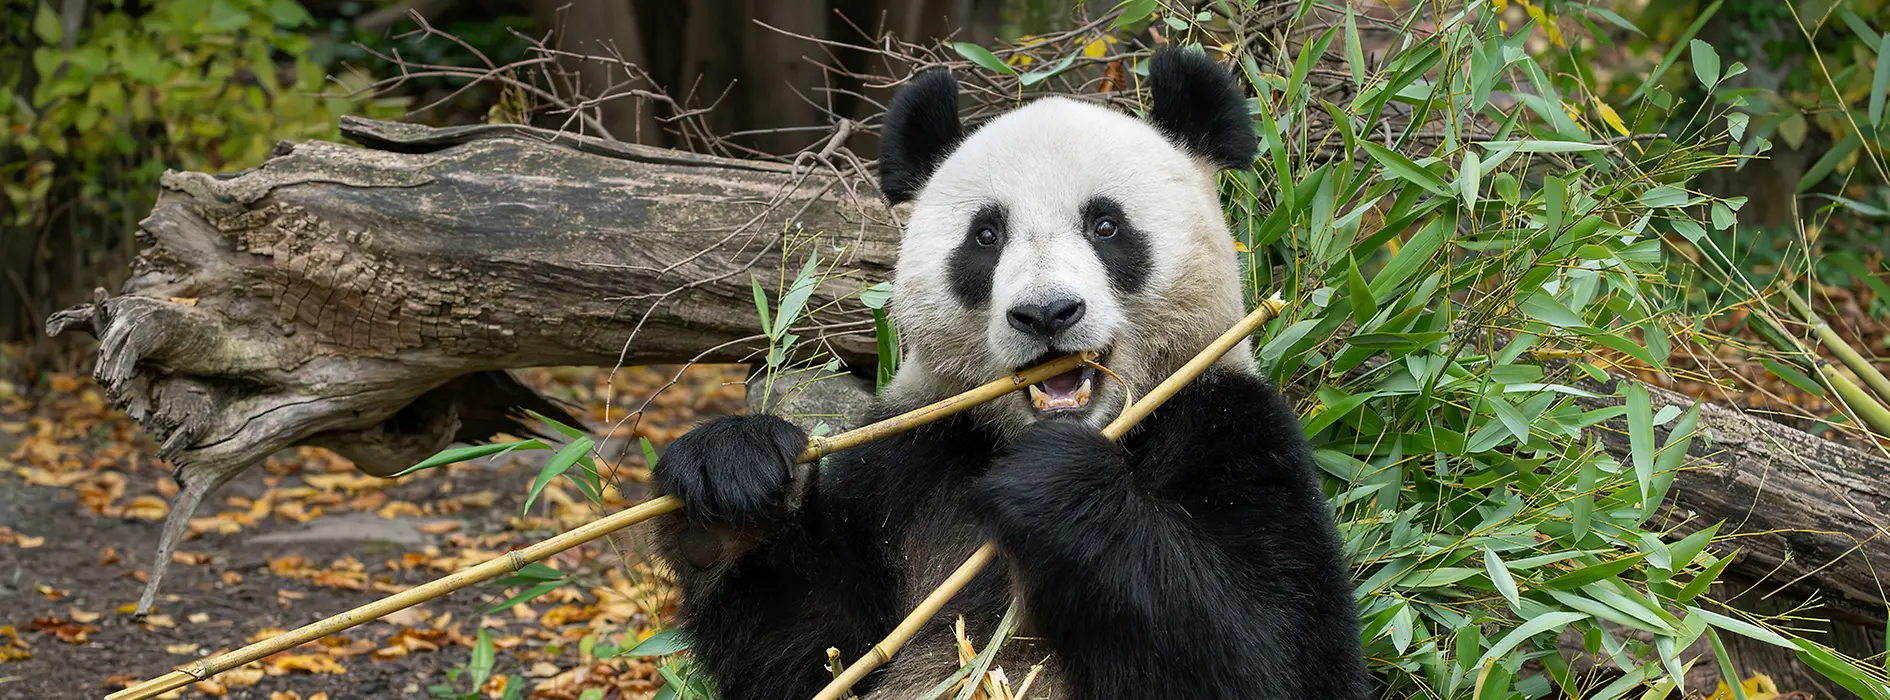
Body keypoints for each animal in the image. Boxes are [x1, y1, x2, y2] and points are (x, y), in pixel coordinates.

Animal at [649, 48, 1368, 699]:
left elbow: (1275, 653)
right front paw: (729, 483)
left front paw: (1055, 482)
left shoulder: (1228, 427)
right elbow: (812, 652)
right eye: (986, 236)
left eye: (1106, 225)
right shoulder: (908, 464)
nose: (1047, 313)